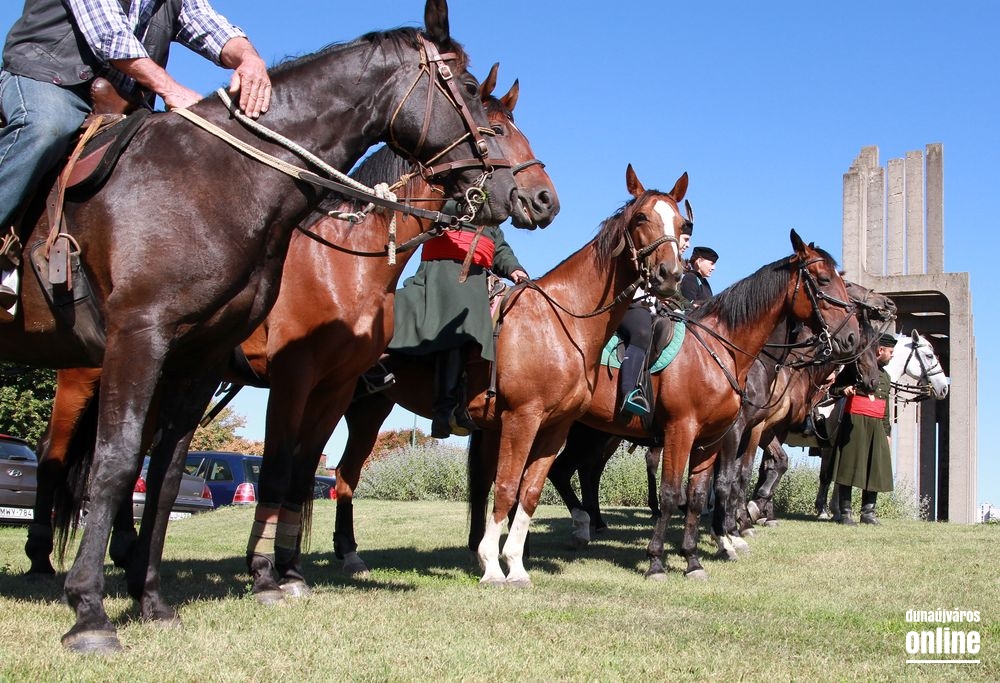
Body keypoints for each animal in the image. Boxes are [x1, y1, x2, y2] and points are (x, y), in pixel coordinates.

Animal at [3, 0, 518, 654]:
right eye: (474, 93)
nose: (531, 197)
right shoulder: (192, 349)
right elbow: (151, 464)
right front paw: (96, 613)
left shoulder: (240, 366)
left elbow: (188, 472)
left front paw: (166, 598)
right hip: (83, 373)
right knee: (58, 456)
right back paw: (45, 560)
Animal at [338, 165, 689, 582]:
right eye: (641, 218)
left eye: (682, 224)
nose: (670, 275)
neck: (561, 320)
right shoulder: (521, 419)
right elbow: (505, 487)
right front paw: (492, 564)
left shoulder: (554, 428)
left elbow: (530, 492)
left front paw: (516, 566)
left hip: (369, 411)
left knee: (345, 475)